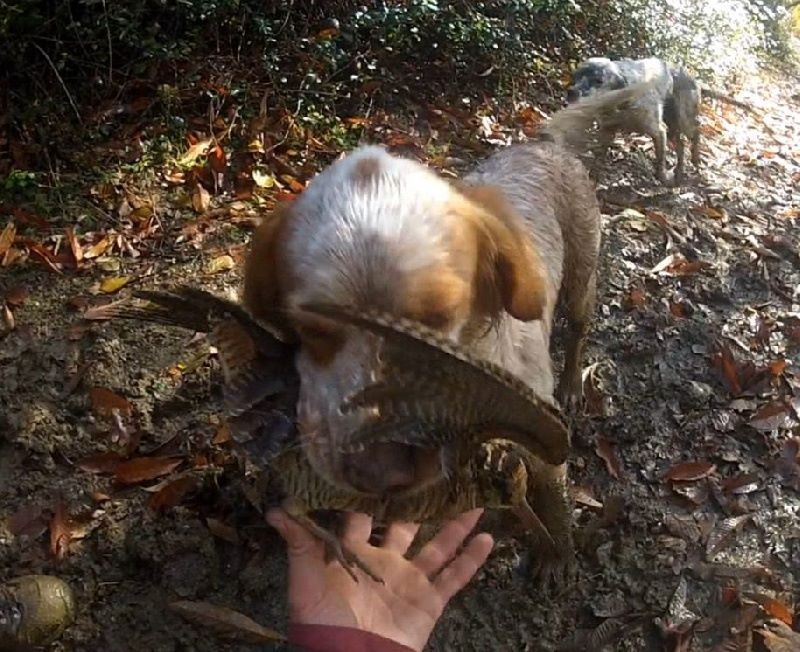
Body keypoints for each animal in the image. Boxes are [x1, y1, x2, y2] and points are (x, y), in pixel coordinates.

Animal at [242, 84, 646, 583]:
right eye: (310, 327)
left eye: (437, 320)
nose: (380, 471)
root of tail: (542, 143)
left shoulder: (542, 445)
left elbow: (553, 500)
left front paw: (559, 553)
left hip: (580, 285)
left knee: (577, 334)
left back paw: (572, 382)